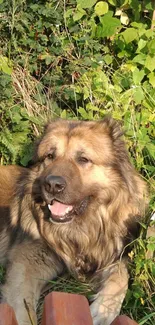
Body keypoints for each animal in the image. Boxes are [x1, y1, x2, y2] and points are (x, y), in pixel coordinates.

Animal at [0, 117, 148, 324]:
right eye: (50, 156)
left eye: (83, 159)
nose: (52, 185)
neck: (82, 227)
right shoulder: (27, 264)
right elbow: (22, 310)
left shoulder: (108, 252)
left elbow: (121, 275)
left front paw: (102, 310)